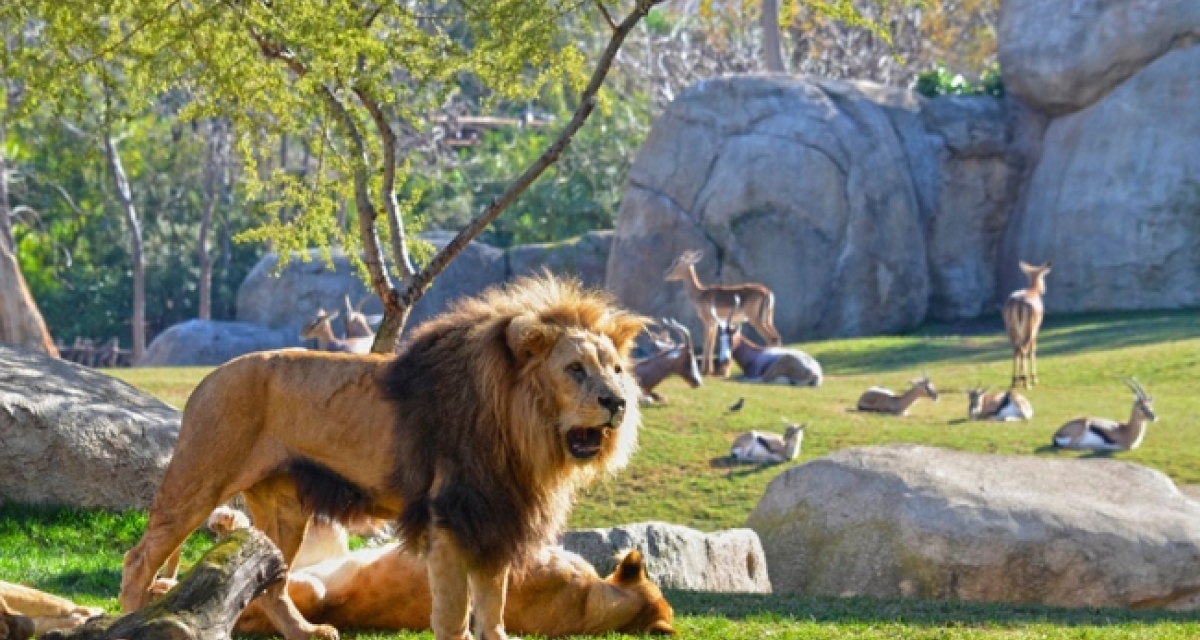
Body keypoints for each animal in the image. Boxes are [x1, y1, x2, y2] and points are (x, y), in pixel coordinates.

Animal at [118, 276, 648, 638]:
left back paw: (307, 633)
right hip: (199, 479)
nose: (617, 402)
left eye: (617, 370)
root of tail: (207, 378)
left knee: (271, 581)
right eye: (575, 369)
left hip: (284, 507)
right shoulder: (448, 519)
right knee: (139, 558)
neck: (526, 434)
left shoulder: (493, 520)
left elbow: (493, 609)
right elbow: (453, 614)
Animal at [1003, 259, 1051, 389]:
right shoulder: (1036, 331)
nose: (1044, 289)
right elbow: (1033, 349)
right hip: (1029, 330)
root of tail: (1018, 302)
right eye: (1043, 275)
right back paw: (1027, 383)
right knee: (1024, 349)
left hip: (1011, 330)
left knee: (1016, 350)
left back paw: (1014, 380)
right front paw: (1034, 379)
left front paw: (1019, 378)